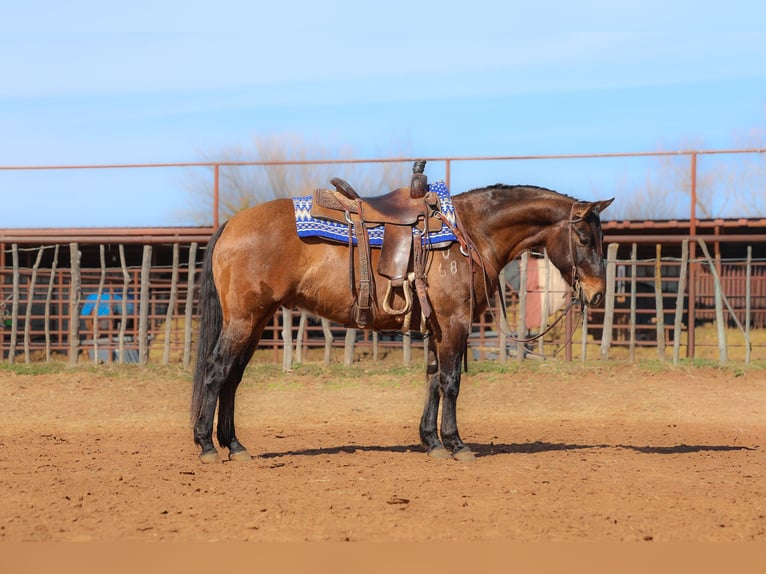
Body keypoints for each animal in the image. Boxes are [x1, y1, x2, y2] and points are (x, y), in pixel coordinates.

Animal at [190, 181, 614, 463]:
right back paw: (207, 446)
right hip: (243, 320)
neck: (473, 234)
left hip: (256, 321)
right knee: (217, 370)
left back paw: (235, 446)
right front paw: (456, 444)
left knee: (233, 378)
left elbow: (432, 380)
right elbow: (451, 382)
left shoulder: (438, 326)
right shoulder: (455, 323)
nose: (596, 294)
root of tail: (231, 224)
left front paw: (431, 442)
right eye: (583, 238)